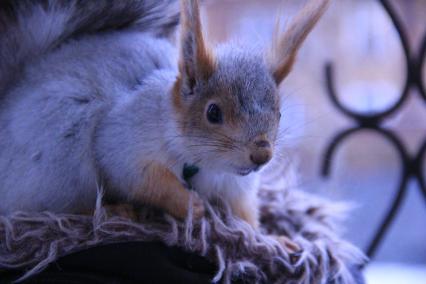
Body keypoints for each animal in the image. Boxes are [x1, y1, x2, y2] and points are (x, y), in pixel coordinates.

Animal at [0, 0, 330, 244]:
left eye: (279, 112)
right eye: (213, 112)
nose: (262, 154)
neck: (205, 164)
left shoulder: (236, 187)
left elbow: (244, 218)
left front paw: (272, 239)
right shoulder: (123, 140)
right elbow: (144, 178)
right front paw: (190, 205)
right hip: (62, 154)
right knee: (57, 208)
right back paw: (113, 212)